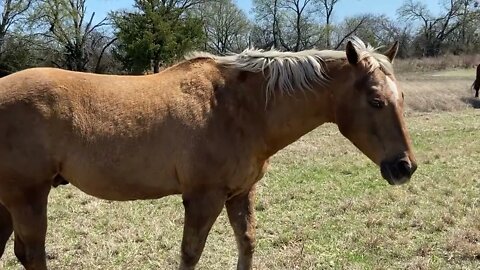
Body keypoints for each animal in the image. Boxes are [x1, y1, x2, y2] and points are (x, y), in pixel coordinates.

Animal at [0, 37, 416, 268]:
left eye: (402, 97)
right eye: (376, 101)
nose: (404, 167)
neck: (239, 107)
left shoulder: (240, 193)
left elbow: (246, 243)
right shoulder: (204, 197)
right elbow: (191, 253)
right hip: (27, 197)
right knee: (31, 254)